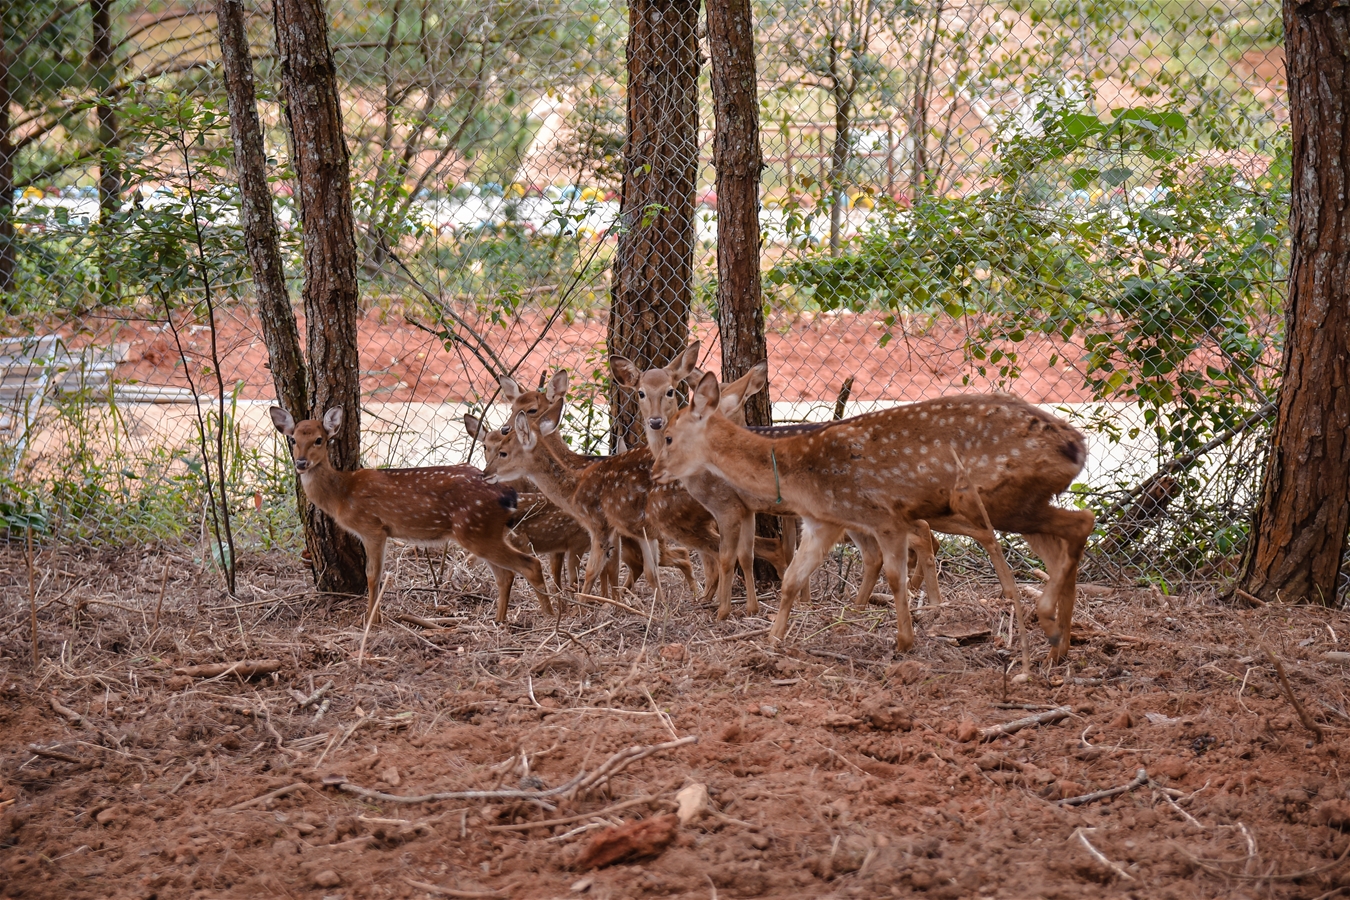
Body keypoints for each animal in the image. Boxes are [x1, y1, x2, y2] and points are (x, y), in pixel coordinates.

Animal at [271, 407, 556, 626]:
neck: (343, 493)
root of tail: (509, 494)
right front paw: (375, 617)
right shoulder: (380, 532)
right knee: (505, 575)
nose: (301, 462)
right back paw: (499, 620)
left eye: (319, 439)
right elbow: (377, 574)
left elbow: (373, 574)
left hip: (476, 530)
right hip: (483, 532)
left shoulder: (372, 527)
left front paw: (371, 620)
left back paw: (551, 617)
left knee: (530, 564)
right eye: (293, 439)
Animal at [653, 375, 1096, 661]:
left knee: (1082, 521)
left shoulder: (882, 516)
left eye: (669, 436)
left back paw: (1046, 622)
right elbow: (792, 579)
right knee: (1064, 542)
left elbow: (895, 576)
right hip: (1018, 501)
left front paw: (904, 641)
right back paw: (1060, 645)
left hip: (988, 498)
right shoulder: (823, 521)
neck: (797, 471)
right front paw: (772, 641)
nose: (655, 471)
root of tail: (1078, 444)